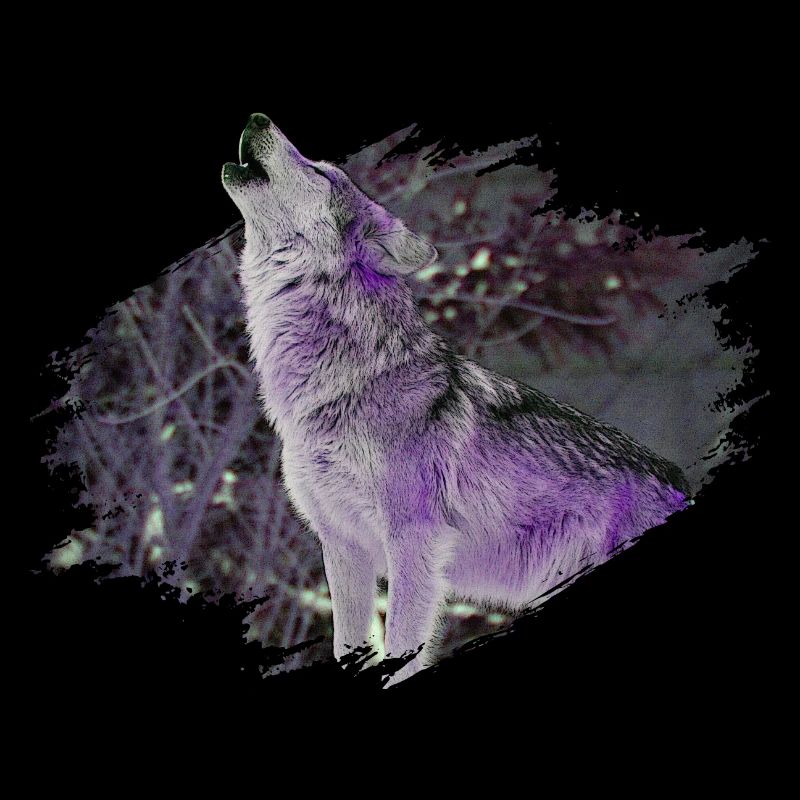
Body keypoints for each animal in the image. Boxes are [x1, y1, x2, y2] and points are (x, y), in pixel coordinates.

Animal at [221, 113, 691, 686]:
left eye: (321, 172)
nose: (257, 117)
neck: (339, 384)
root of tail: (678, 484)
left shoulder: (413, 545)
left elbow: (401, 656)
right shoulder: (344, 549)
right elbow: (348, 648)